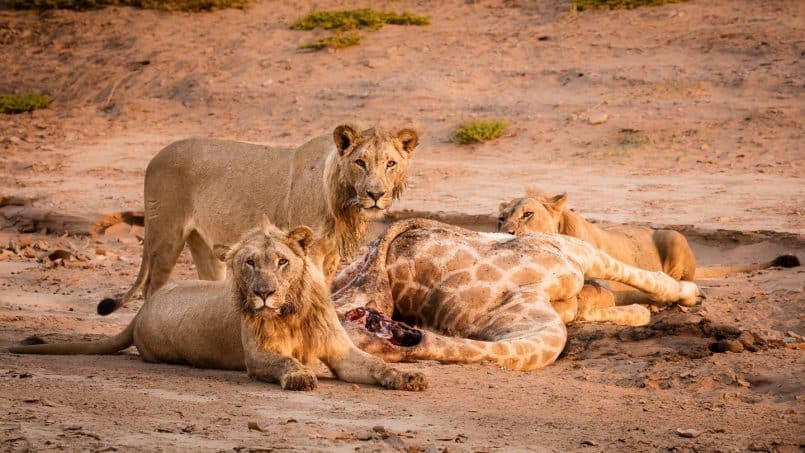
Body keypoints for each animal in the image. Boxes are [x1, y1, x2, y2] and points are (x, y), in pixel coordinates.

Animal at [11, 217, 428, 390]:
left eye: (282, 261)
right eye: (249, 263)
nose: (264, 292)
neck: (290, 312)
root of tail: (142, 310)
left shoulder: (341, 352)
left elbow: (375, 365)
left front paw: (410, 378)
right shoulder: (258, 356)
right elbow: (285, 362)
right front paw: (298, 376)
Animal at [97, 123, 418, 314]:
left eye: (390, 163)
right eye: (360, 162)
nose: (375, 194)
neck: (341, 201)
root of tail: (155, 156)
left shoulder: (330, 257)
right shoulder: (311, 251)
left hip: (203, 244)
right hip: (166, 234)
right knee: (152, 287)